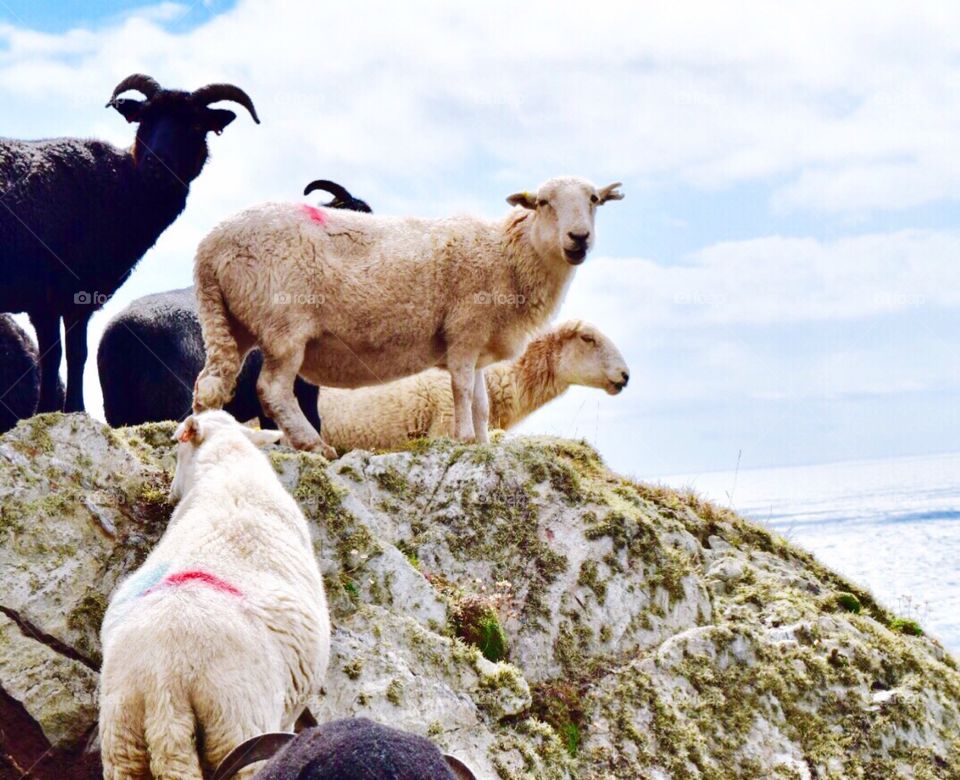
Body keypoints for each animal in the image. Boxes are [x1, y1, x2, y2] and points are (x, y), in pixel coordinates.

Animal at [0, 73, 258, 414]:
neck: (121, 186)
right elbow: (61, 355)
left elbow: (71, 354)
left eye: (195, 126)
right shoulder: (55, 296)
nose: (156, 162)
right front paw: (62, 409)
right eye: (145, 120)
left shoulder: (65, 299)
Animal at [98, 412, 330, 776]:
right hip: (237, 724)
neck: (229, 465)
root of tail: (163, 681)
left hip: (122, 740)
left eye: (177, 447)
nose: (170, 493)